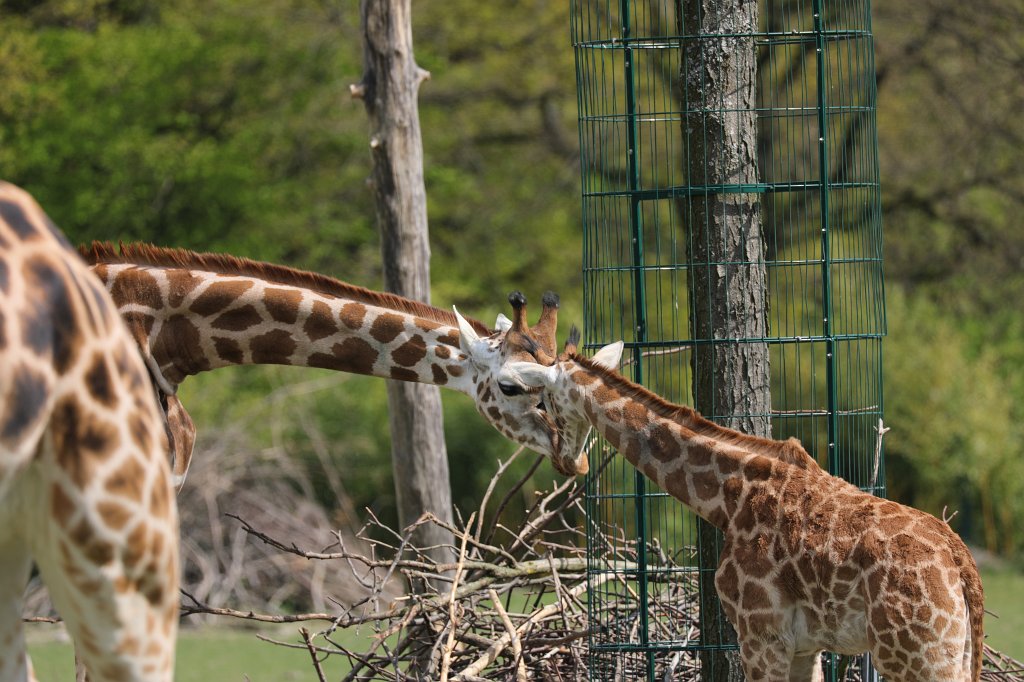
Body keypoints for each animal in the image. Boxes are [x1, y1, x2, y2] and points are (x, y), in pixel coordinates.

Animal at [498, 338, 985, 682]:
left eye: (541, 398)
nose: (568, 461)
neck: (728, 498)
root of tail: (963, 566)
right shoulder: (804, 646)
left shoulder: (760, 632)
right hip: (953, 653)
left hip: (913, 654)